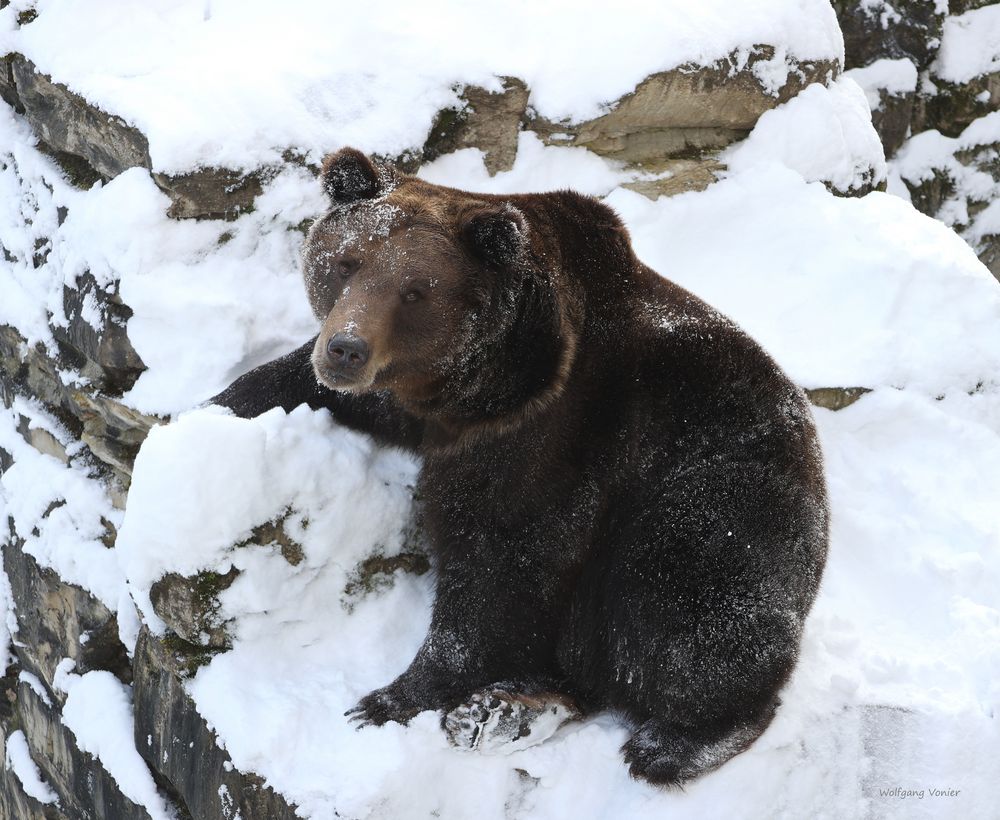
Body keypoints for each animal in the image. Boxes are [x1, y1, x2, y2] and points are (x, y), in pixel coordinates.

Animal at [215, 149, 832, 788]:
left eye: (415, 291)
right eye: (346, 262)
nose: (346, 348)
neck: (493, 386)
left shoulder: (560, 437)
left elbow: (498, 566)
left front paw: (386, 698)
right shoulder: (428, 408)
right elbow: (311, 384)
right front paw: (220, 403)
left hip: (722, 502)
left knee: (687, 610)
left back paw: (671, 743)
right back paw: (503, 712)